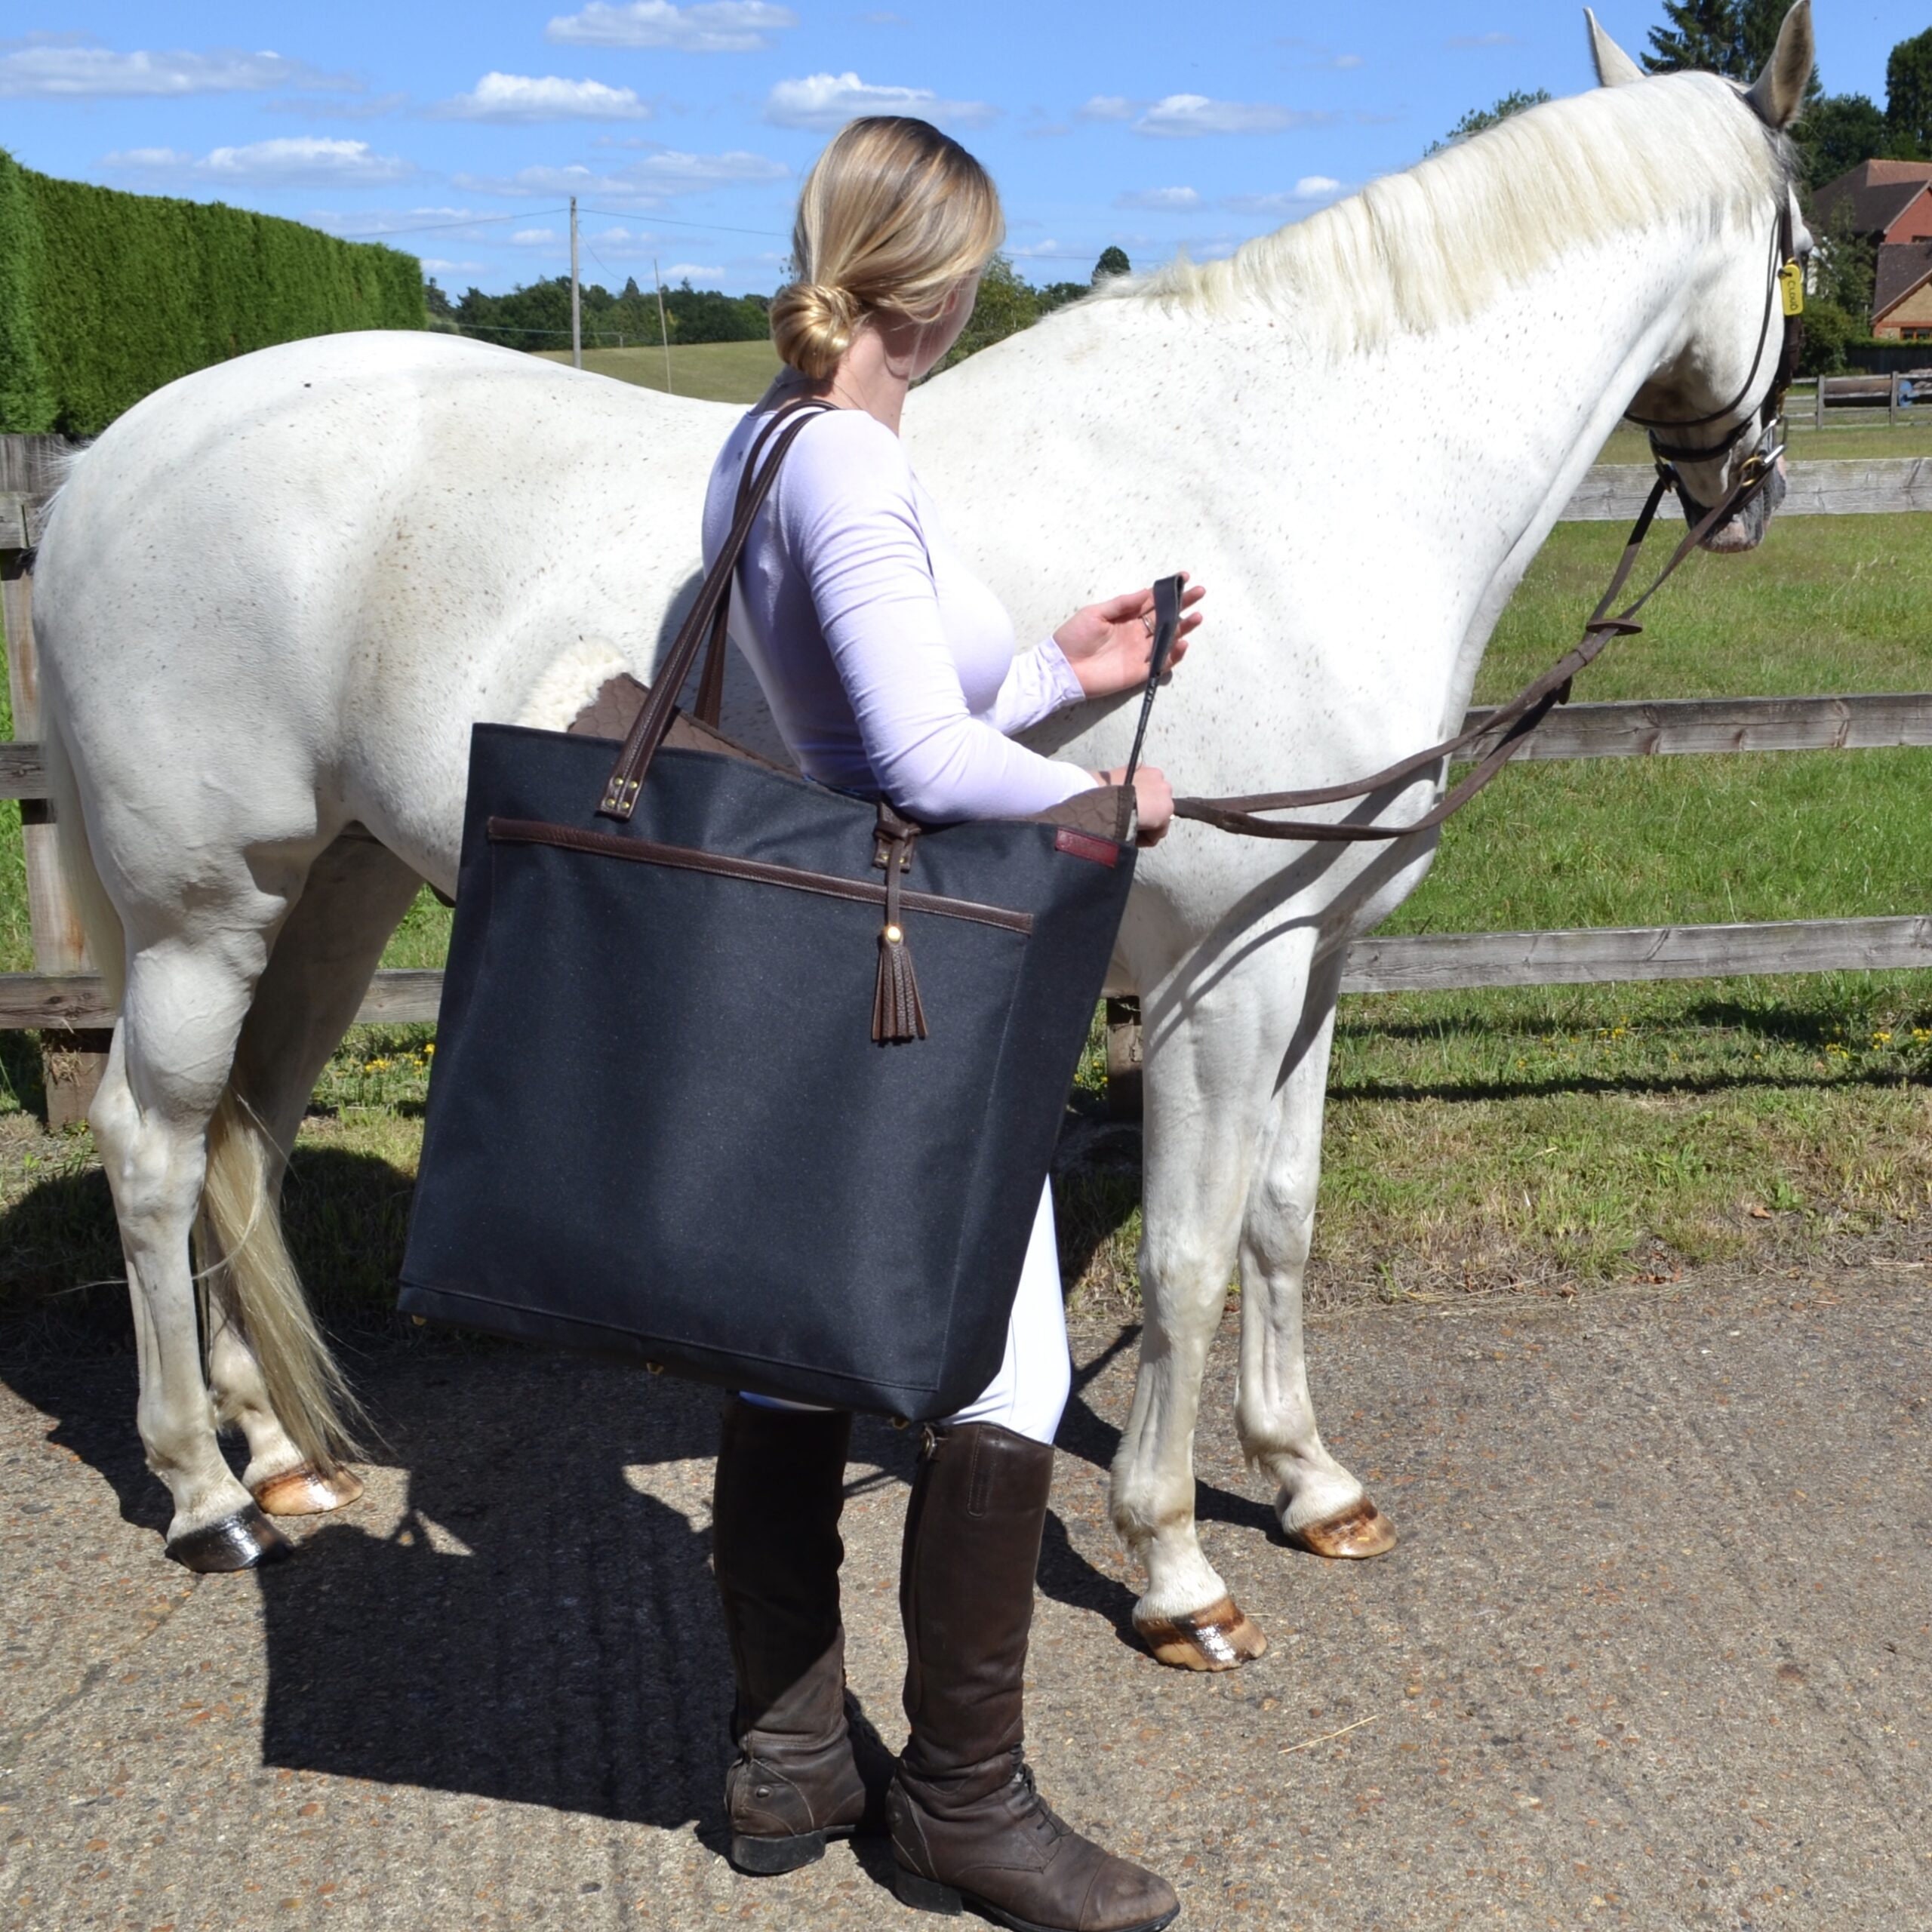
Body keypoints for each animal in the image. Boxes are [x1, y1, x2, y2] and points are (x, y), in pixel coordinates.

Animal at [34, 11, 1808, 1630]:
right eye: (1798, 246)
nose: (1751, 497)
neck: (1299, 480)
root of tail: (113, 463)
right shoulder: (1214, 984)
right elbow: (1185, 1255)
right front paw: (1172, 1560)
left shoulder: (1307, 961)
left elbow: (1283, 1220)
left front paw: (1311, 1481)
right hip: (202, 913)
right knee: (153, 1147)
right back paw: (203, 1492)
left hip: (328, 892)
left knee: (244, 1137)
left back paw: (279, 1458)